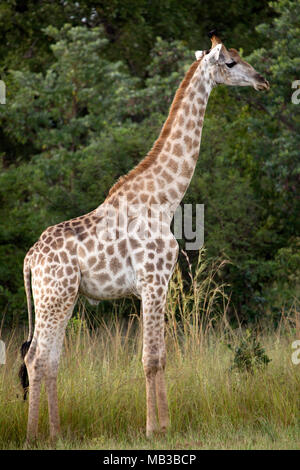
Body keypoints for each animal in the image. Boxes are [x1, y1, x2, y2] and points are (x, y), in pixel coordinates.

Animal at [19, 32, 270, 440]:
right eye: (231, 62)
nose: (262, 80)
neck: (166, 199)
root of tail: (29, 260)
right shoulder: (153, 281)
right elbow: (151, 357)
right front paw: (154, 429)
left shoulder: (157, 285)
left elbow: (162, 355)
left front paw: (164, 424)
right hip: (54, 295)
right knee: (37, 356)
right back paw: (33, 436)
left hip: (59, 296)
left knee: (46, 357)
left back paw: (53, 435)